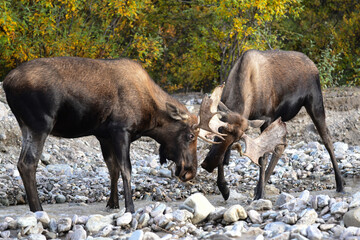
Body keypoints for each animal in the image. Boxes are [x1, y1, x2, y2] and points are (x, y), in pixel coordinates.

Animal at [201, 48, 344, 201]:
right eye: (220, 129)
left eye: (237, 139)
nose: (207, 164)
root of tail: (312, 63)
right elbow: (225, 156)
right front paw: (224, 188)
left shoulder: (267, 118)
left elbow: (262, 157)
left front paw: (260, 194)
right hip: (283, 117)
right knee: (282, 145)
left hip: (315, 103)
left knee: (327, 138)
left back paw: (340, 184)